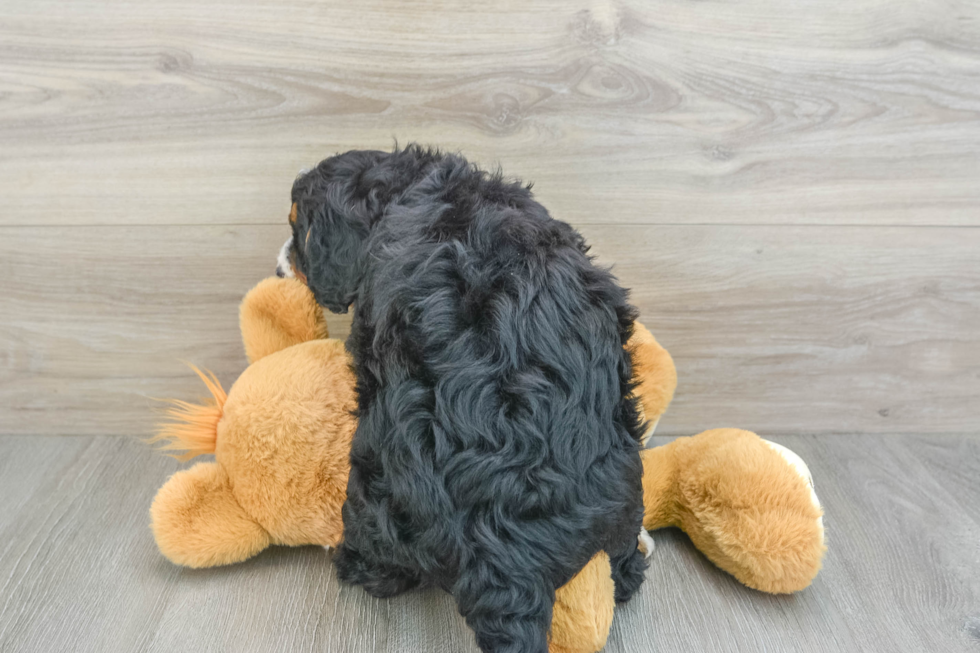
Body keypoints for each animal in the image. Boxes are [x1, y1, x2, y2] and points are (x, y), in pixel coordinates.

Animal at [276, 144, 648, 652]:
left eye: (300, 229)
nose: (278, 266)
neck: (412, 187)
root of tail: (510, 567)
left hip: (375, 484)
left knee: (380, 553)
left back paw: (353, 563)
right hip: (623, 476)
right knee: (622, 549)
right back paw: (628, 571)